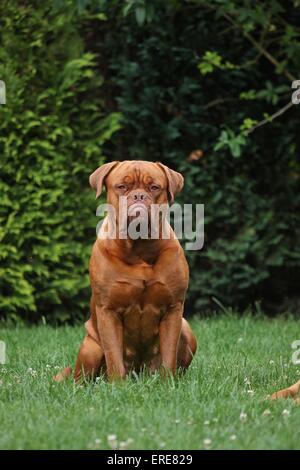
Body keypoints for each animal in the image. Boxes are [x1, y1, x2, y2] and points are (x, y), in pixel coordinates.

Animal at [54, 162, 197, 382]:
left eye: (154, 187)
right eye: (121, 187)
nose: (138, 196)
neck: (139, 250)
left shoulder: (173, 309)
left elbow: (169, 354)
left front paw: (168, 383)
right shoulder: (108, 311)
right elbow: (114, 355)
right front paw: (118, 386)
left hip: (187, 329)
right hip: (90, 348)